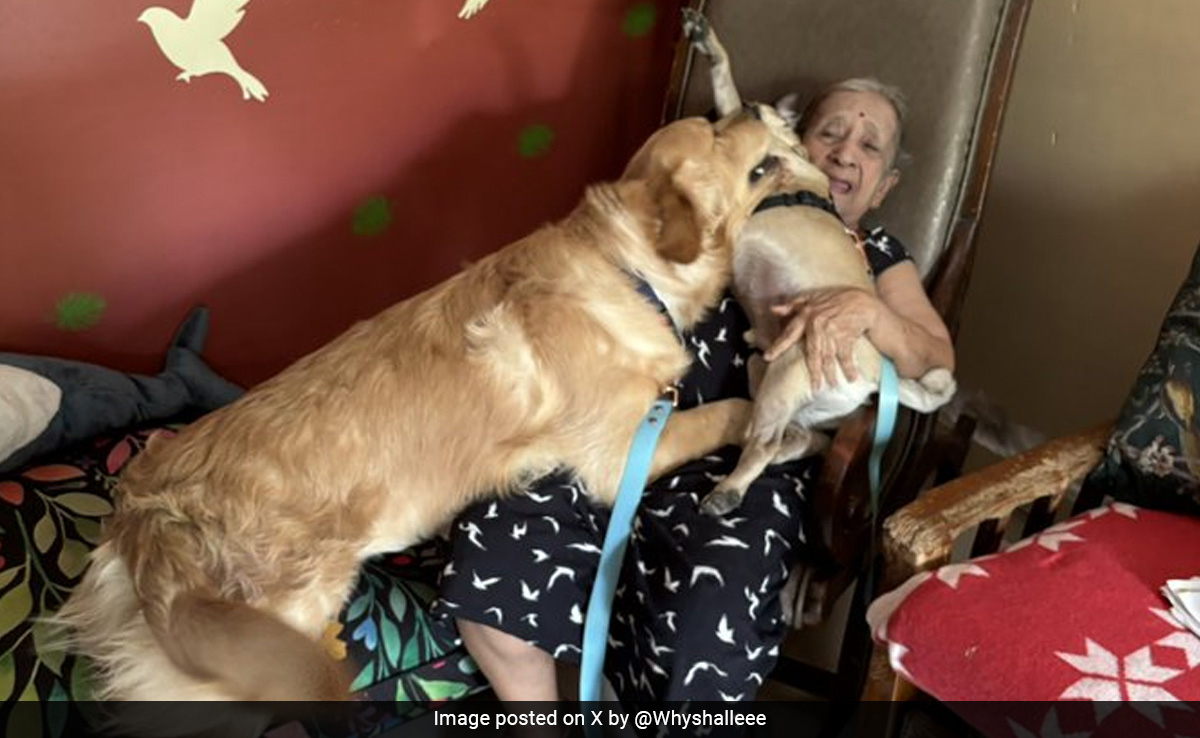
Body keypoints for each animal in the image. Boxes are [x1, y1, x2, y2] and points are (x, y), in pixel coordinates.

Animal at [51, 112, 807, 723]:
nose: (758, 105)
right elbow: (733, 407)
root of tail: (144, 513)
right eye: (715, 130)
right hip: (276, 622)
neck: (628, 270)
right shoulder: (622, 450)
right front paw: (784, 430)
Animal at [681, 10, 956, 516]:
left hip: (786, 373)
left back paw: (728, 490)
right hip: (766, 375)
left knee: (766, 444)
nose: (747, 112)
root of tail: (877, 375)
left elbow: (726, 80)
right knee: (794, 438)